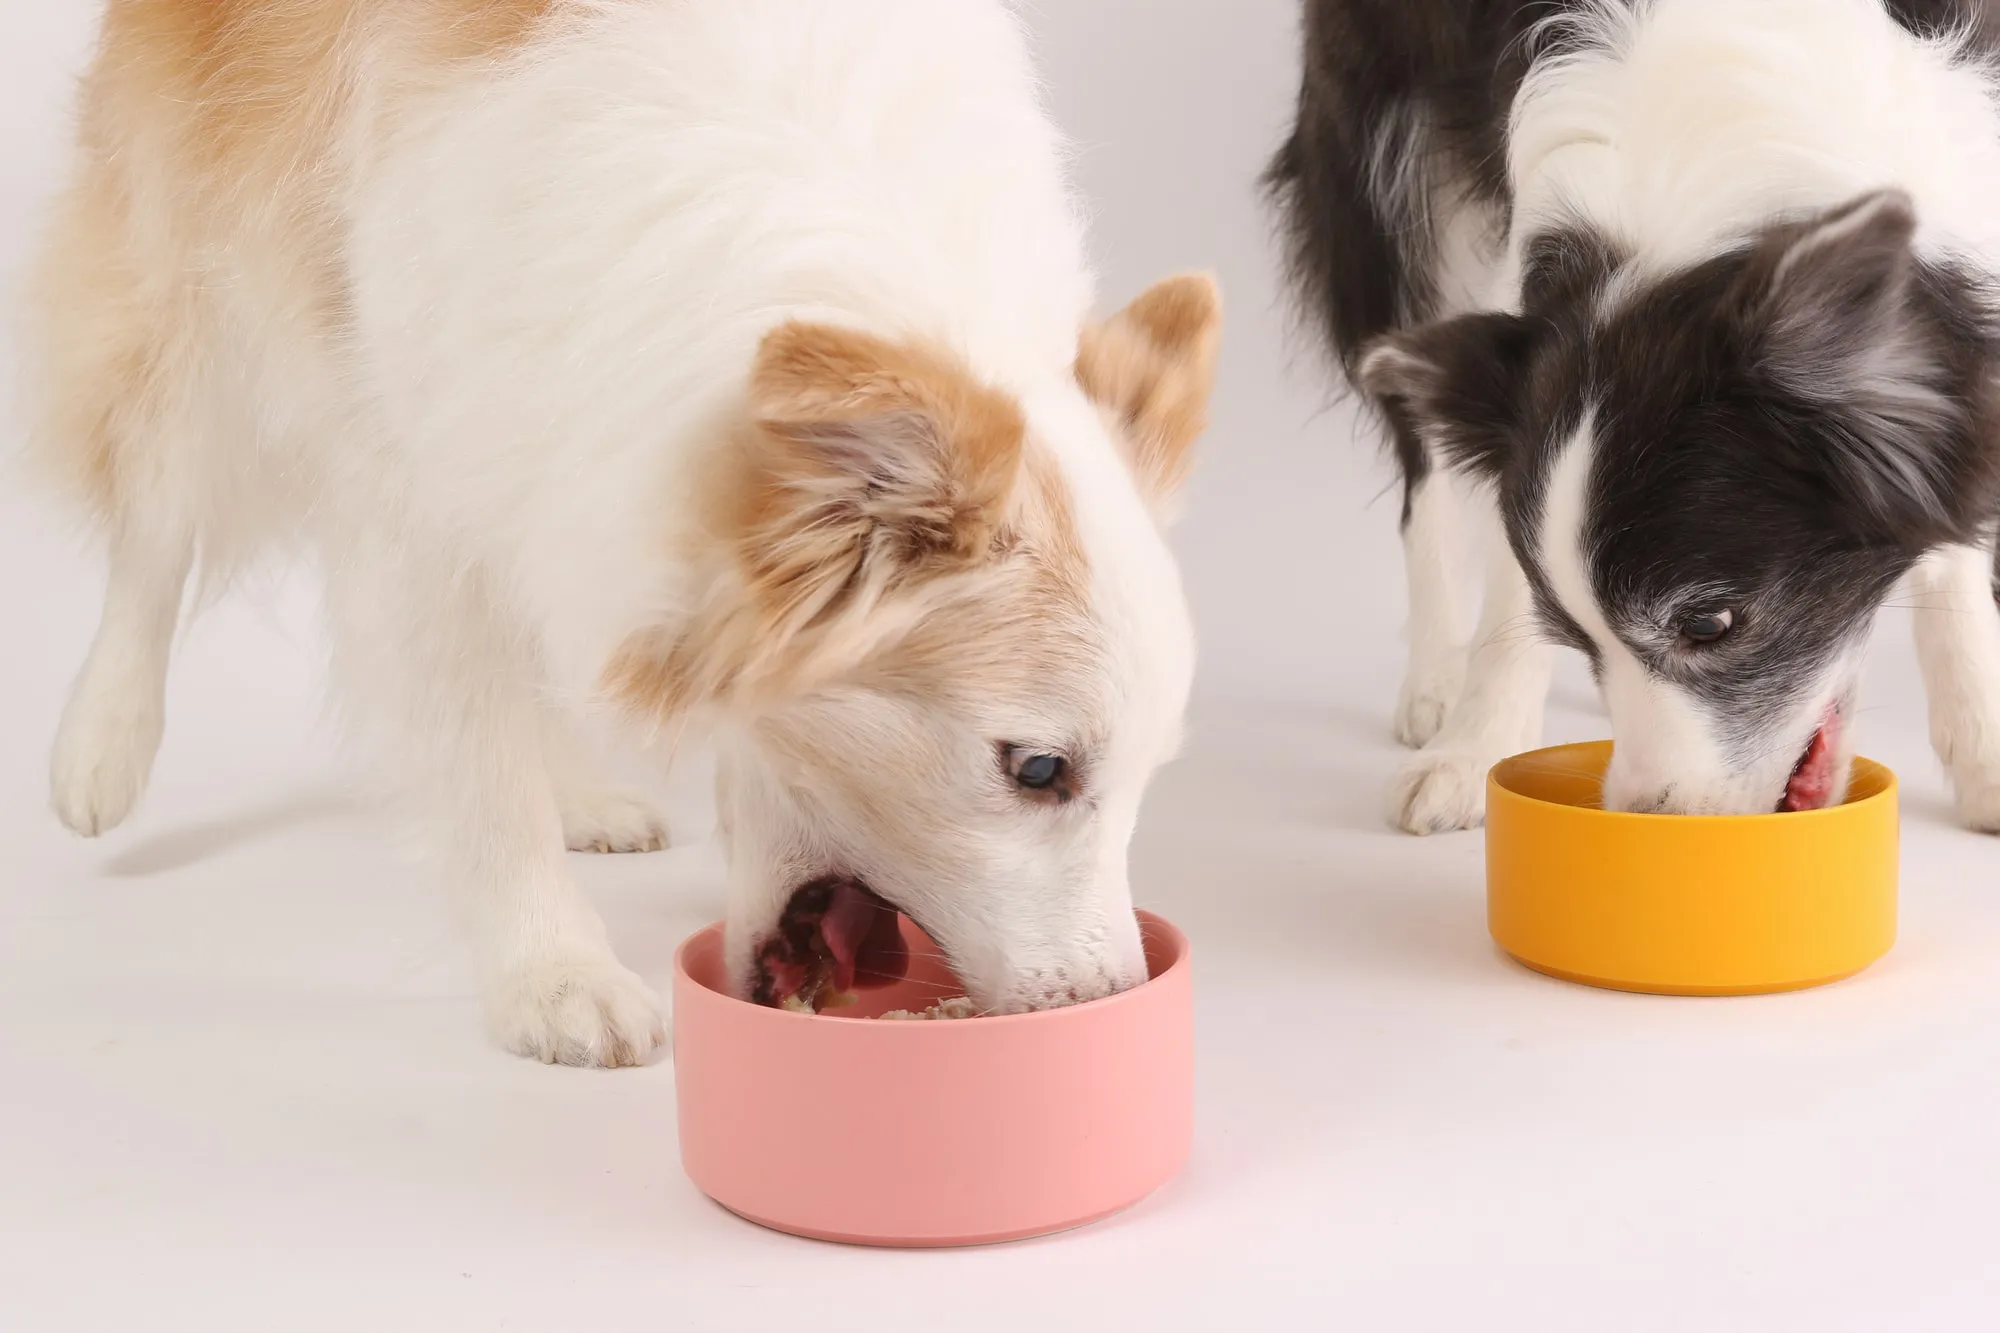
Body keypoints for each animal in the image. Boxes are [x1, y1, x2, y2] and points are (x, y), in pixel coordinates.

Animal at [31, 0, 1216, 1056]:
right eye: (1038, 769)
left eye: (1153, 771)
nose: (1114, 997)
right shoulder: (413, 458)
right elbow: (477, 757)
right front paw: (553, 976)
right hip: (195, 257)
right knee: (158, 499)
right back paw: (102, 743)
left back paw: (583, 792)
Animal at [1272, 2, 2000, 832]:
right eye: (1566, 629)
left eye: (1709, 625)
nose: (1651, 817)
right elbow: (1508, 577)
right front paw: (1475, 748)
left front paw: (1984, 745)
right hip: (1381, 182)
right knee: (1420, 453)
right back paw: (1435, 680)